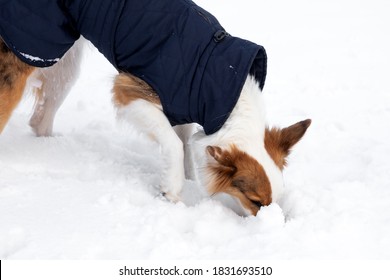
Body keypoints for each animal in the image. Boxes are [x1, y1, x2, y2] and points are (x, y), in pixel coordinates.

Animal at [0, 0, 310, 217]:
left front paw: (188, 177)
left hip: (60, 62)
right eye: (256, 201)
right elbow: (174, 144)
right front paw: (172, 191)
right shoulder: (131, 90)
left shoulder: (183, 105)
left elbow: (185, 144)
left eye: (275, 200)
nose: (274, 224)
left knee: (39, 120)